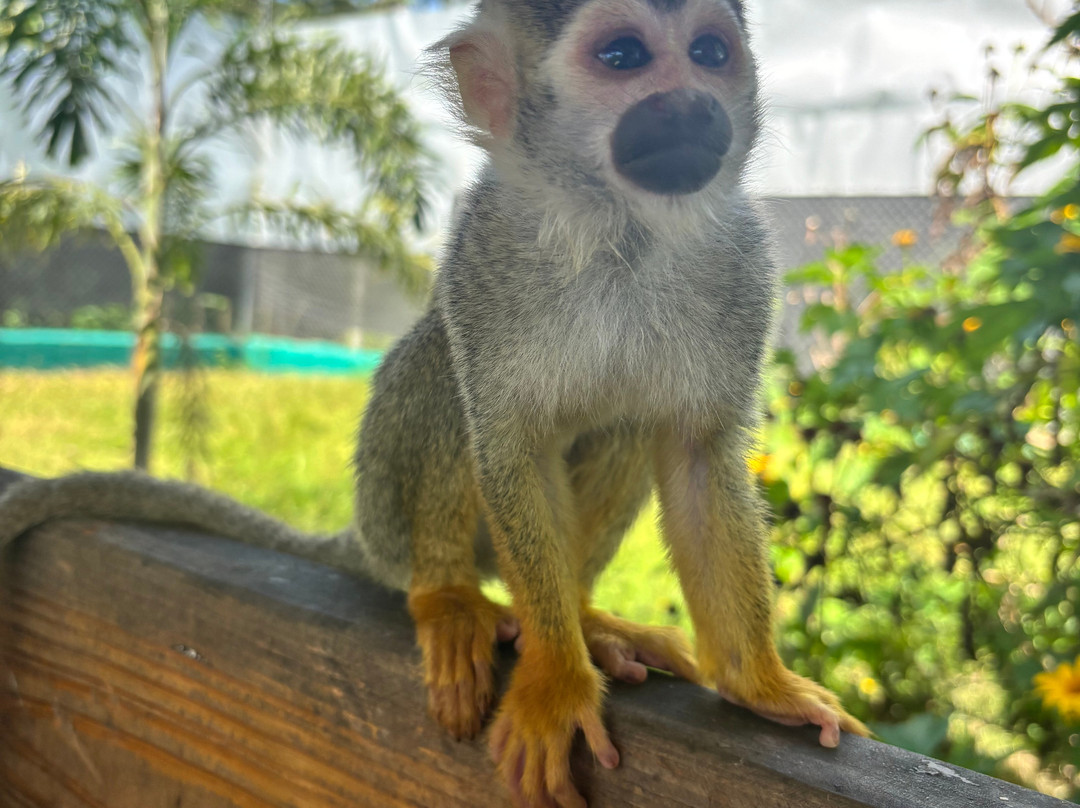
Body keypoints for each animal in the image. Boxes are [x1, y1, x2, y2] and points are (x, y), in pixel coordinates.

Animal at [0, 0, 870, 805]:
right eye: (623, 55)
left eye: (710, 53)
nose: (693, 104)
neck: (619, 226)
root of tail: (364, 533)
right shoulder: (483, 244)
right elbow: (507, 439)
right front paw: (556, 680)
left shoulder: (743, 263)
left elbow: (693, 457)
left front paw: (760, 686)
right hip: (385, 502)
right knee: (446, 374)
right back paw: (449, 594)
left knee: (625, 425)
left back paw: (586, 616)